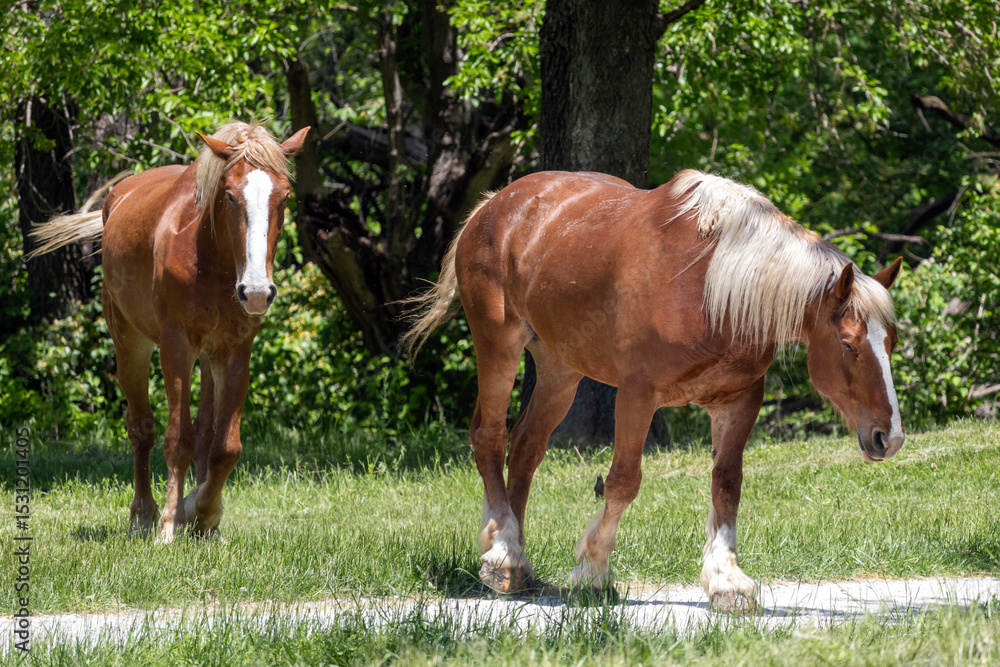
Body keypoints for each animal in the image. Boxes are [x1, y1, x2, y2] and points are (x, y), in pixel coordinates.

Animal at [29, 122, 309, 544]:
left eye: (284, 197)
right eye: (230, 195)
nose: (257, 291)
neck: (212, 258)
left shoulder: (235, 352)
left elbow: (225, 447)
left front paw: (204, 514)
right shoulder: (175, 347)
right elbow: (177, 440)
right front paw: (169, 523)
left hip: (209, 358)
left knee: (206, 432)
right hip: (131, 345)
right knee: (141, 429)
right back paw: (143, 515)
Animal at [403, 169, 905, 611]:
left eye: (891, 343)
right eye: (848, 345)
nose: (890, 437)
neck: (709, 287)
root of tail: (493, 205)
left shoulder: (739, 401)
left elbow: (727, 484)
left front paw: (725, 580)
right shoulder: (637, 395)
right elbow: (624, 482)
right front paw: (593, 571)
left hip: (560, 368)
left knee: (526, 447)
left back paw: (518, 561)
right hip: (498, 345)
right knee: (489, 436)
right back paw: (504, 552)